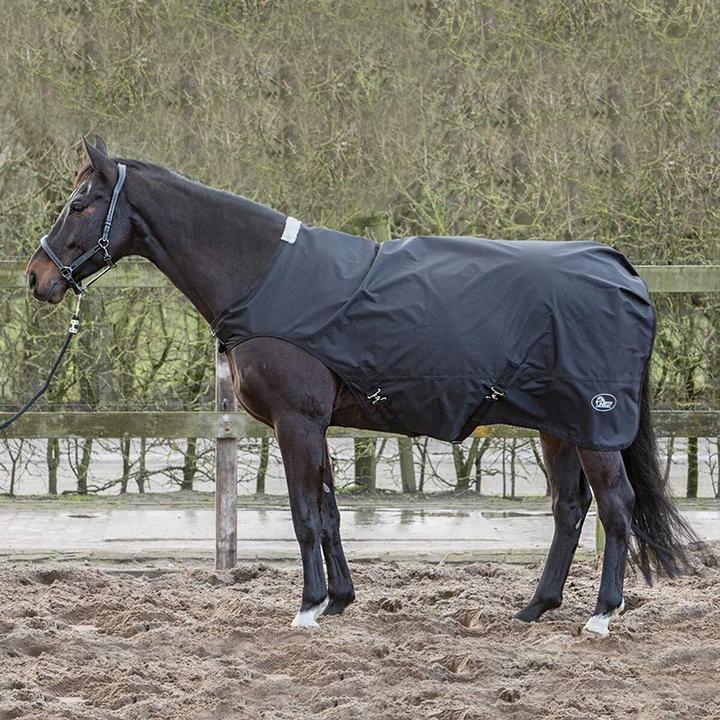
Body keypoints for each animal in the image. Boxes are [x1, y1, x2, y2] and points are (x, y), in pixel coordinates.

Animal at [25, 136, 698, 635]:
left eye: (80, 203)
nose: (37, 278)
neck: (264, 276)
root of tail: (621, 270)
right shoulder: (315, 426)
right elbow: (328, 512)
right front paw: (339, 598)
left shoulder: (296, 422)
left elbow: (303, 513)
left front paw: (307, 608)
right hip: (558, 426)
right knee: (569, 509)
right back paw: (535, 608)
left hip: (595, 425)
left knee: (616, 507)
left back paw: (602, 615)